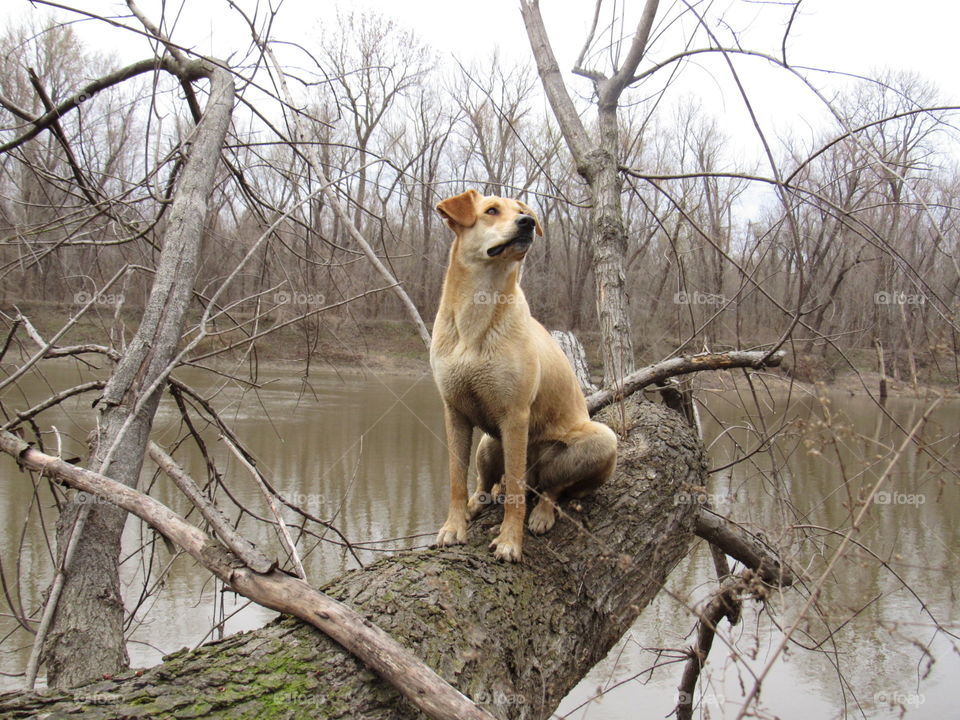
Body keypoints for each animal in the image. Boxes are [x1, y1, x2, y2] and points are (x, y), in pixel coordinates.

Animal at [432, 188, 620, 560]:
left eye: (526, 213)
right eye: (491, 211)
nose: (528, 223)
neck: (478, 311)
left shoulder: (516, 415)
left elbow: (516, 497)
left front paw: (509, 541)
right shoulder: (454, 411)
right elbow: (457, 480)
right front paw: (453, 527)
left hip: (602, 441)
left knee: (552, 487)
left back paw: (543, 512)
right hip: (489, 442)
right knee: (487, 483)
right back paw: (479, 500)